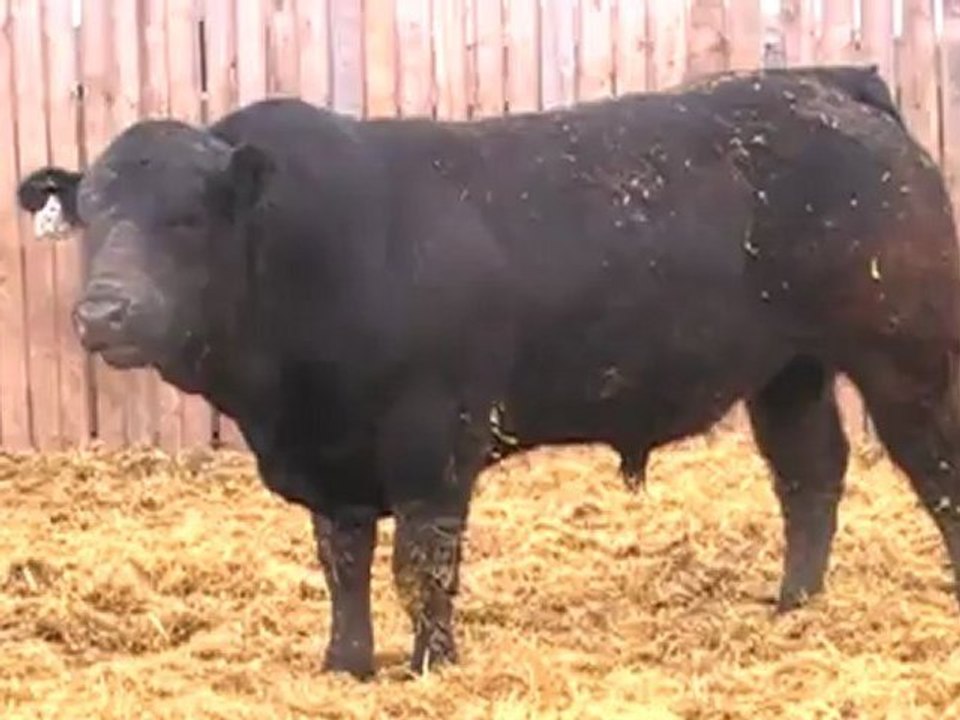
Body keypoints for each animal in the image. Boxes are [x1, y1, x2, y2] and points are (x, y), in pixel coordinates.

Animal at [15, 64, 960, 679]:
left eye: (187, 218)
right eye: (91, 213)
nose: (104, 312)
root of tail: (830, 85)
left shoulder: (434, 437)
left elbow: (422, 562)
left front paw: (431, 665)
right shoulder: (332, 460)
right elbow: (343, 562)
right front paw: (344, 665)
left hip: (906, 353)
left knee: (935, 469)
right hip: (788, 369)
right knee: (810, 474)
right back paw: (793, 606)